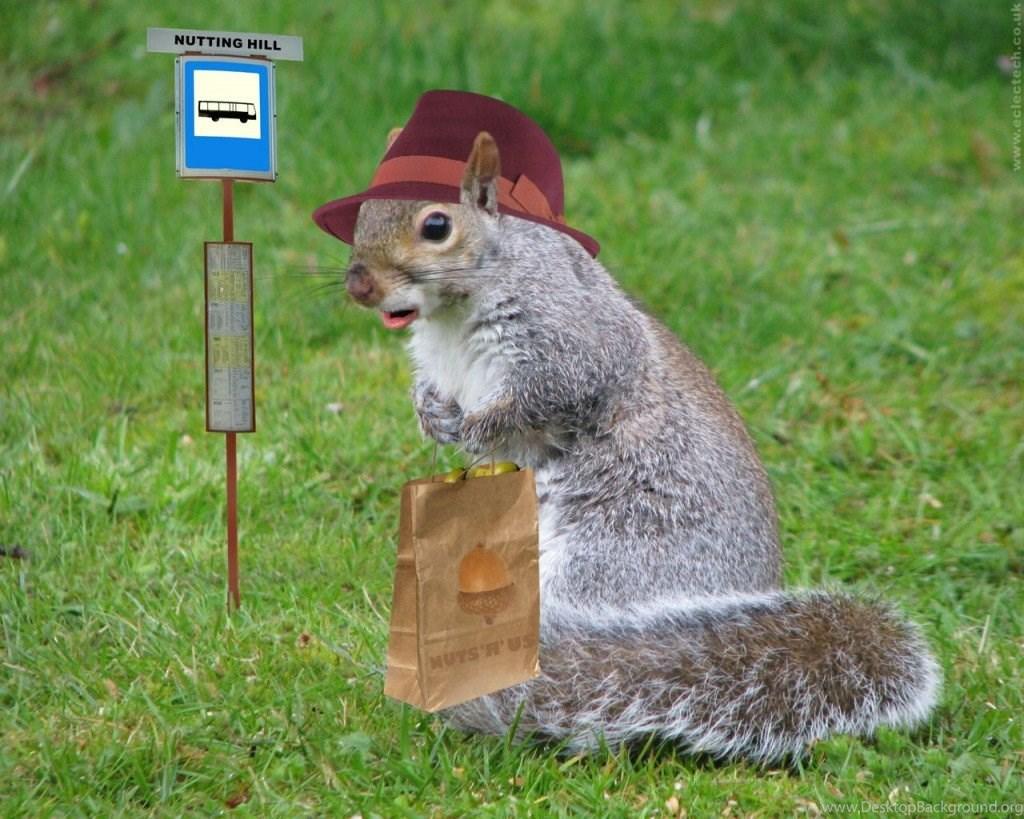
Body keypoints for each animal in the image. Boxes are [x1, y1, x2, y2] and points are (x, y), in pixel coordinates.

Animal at [343, 130, 941, 761]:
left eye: (436, 226)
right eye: (361, 214)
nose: (359, 284)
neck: (452, 315)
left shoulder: (571, 342)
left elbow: (551, 394)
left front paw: (480, 428)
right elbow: (432, 392)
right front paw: (432, 415)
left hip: (612, 558)